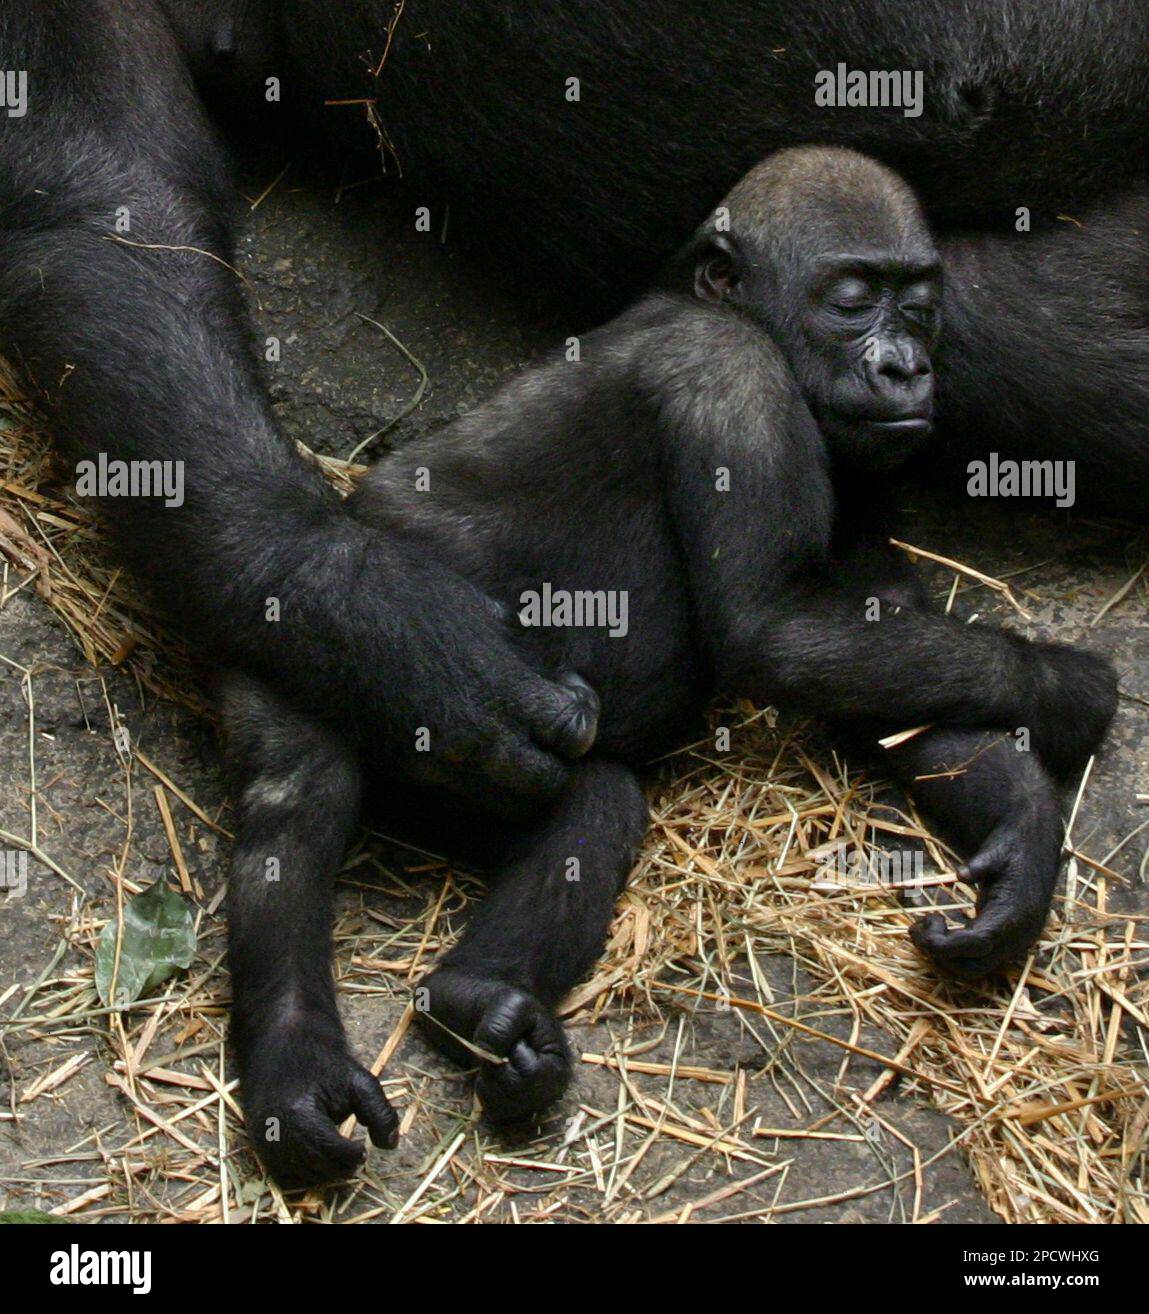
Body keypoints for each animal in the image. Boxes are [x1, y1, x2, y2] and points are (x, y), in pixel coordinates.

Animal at [219, 147, 1117, 1187]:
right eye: (852, 302)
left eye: (922, 311)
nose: (906, 367)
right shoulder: (732, 373)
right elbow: (775, 633)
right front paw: (1062, 689)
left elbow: (878, 671)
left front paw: (1018, 842)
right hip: (313, 617)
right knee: (299, 795)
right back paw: (299, 1054)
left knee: (573, 803)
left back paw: (468, 1000)